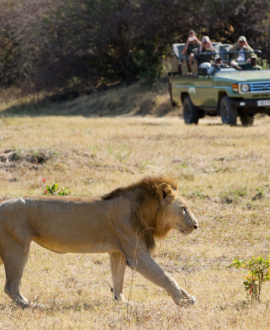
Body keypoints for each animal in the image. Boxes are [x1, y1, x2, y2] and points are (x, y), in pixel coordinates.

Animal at [0, 175, 198, 306]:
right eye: (184, 208)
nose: (196, 225)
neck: (145, 211)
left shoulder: (117, 252)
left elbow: (118, 280)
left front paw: (122, 302)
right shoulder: (137, 257)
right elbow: (166, 277)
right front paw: (183, 300)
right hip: (17, 247)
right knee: (11, 286)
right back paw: (30, 305)